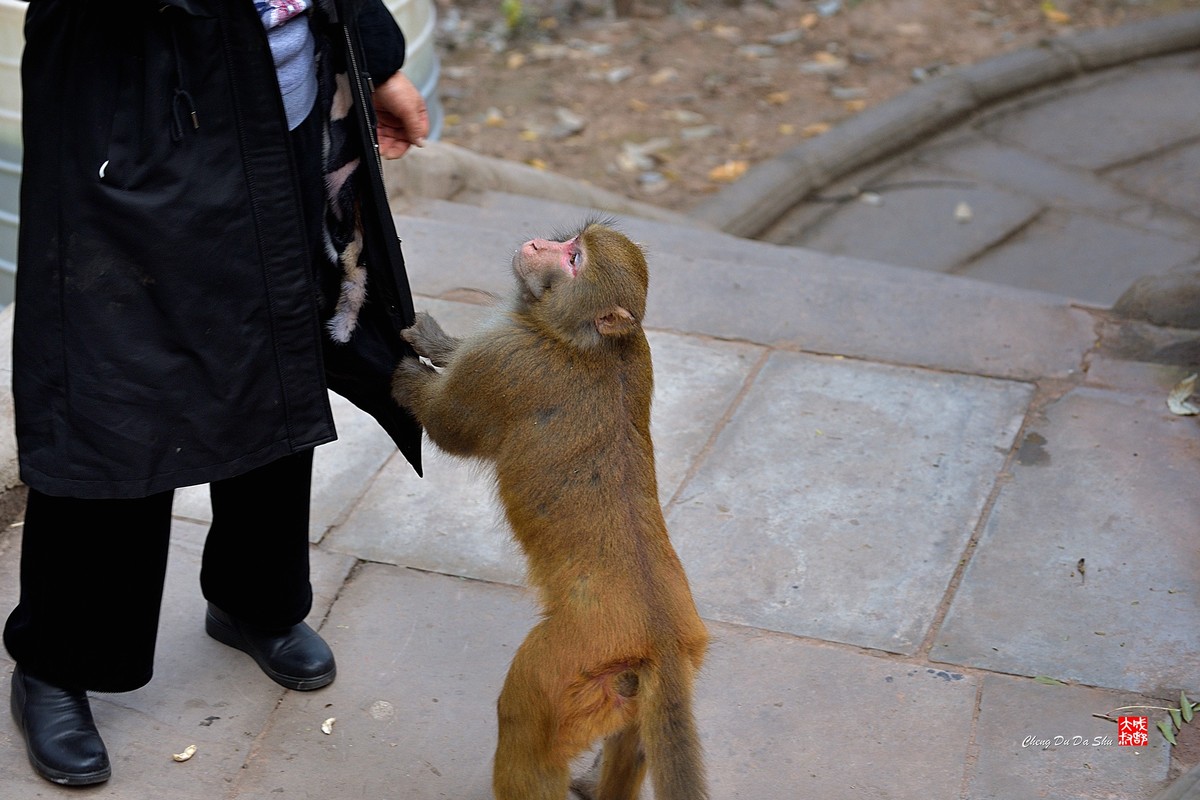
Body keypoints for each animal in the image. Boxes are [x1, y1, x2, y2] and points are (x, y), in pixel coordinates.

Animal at [393, 220, 705, 800]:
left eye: (574, 258)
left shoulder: (509, 357)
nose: (538, 244)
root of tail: (662, 640)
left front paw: (407, 377)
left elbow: (450, 427)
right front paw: (438, 343)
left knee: (523, 725)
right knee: (633, 742)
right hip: (634, 683)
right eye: (570, 241)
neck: (582, 338)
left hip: (562, 667)